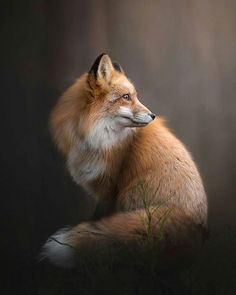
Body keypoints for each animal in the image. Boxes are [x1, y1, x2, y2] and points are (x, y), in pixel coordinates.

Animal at [41, 53, 207, 270]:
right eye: (126, 97)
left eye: (134, 96)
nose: (153, 115)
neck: (95, 138)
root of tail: (197, 226)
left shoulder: (110, 188)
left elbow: (99, 218)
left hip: (133, 195)